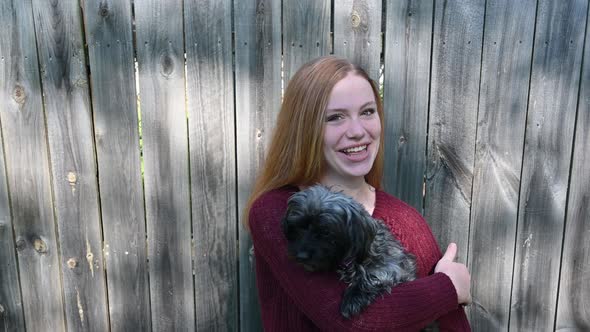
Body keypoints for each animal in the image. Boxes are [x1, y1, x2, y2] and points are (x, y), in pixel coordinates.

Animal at [284, 185, 418, 318]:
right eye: (298, 227)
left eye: (326, 231)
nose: (301, 256)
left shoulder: (395, 264)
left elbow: (374, 274)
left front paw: (353, 297)